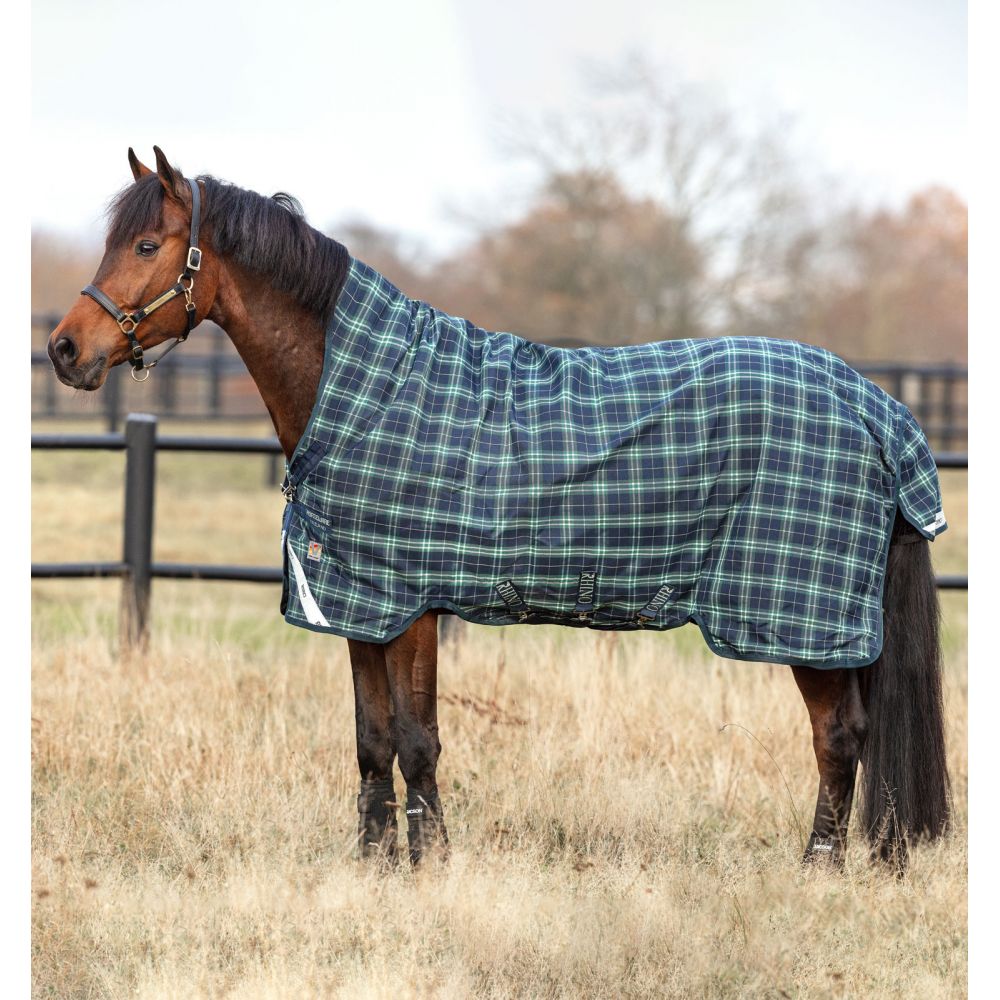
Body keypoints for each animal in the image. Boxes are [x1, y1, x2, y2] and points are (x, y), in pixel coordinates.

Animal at [46, 147, 951, 873]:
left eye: (147, 245)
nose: (64, 349)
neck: (368, 393)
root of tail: (875, 406)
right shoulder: (363, 604)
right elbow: (373, 741)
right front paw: (376, 864)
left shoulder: (409, 605)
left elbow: (416, 739)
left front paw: (430, 864)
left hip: (805, 622)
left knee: (840, 738)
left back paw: (817, 866)